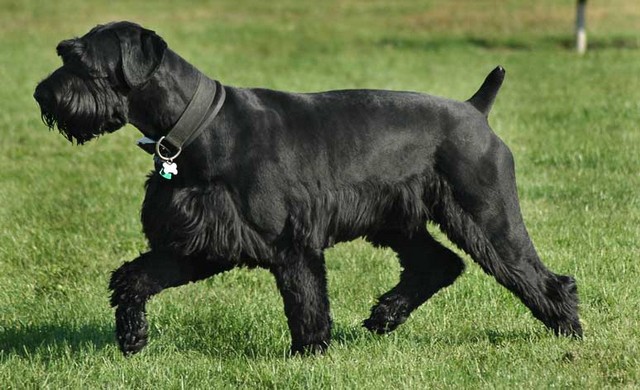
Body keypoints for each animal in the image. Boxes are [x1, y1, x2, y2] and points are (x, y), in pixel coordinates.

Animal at [36, 22, 584, 356]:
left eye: (78, 61)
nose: (42, 94)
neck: (198, 127)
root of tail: (476, 109)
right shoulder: (200, 243)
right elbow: (136, 278)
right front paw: (132, 338)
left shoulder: (290, 244)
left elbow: (306, 303)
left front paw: (309, 354)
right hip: (398, 222)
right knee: (438, 264)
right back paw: (384, 318)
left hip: (488, 218)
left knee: (540, 277)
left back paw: (569, 332)